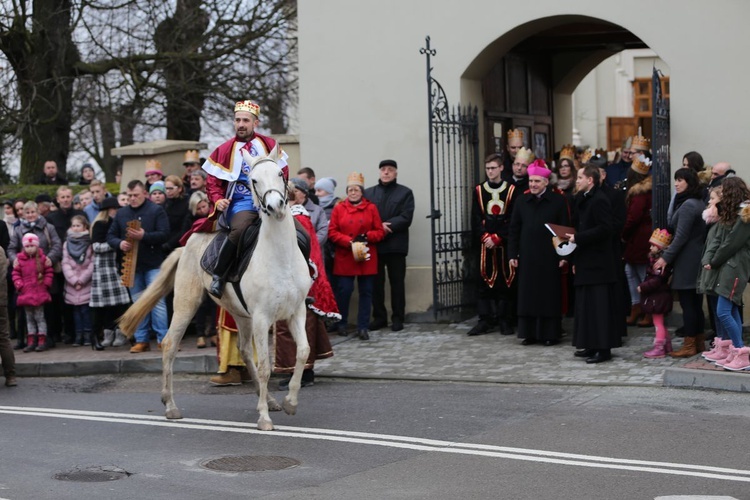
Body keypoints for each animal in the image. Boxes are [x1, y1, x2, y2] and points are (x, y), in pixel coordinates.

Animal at [119, 146, 312, 430]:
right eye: (253, 180)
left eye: (280, 173)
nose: (275, 206)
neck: (280, 257)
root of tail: (186, 244)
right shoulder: (263, 317)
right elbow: (266, 366)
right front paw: (264, 419)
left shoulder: (296, 311)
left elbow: (303, 352)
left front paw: (290, 402)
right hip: (187, 304)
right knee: (169, 344)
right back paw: (170, 405)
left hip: (242, 316)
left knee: (244, 350)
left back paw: (269, 400)